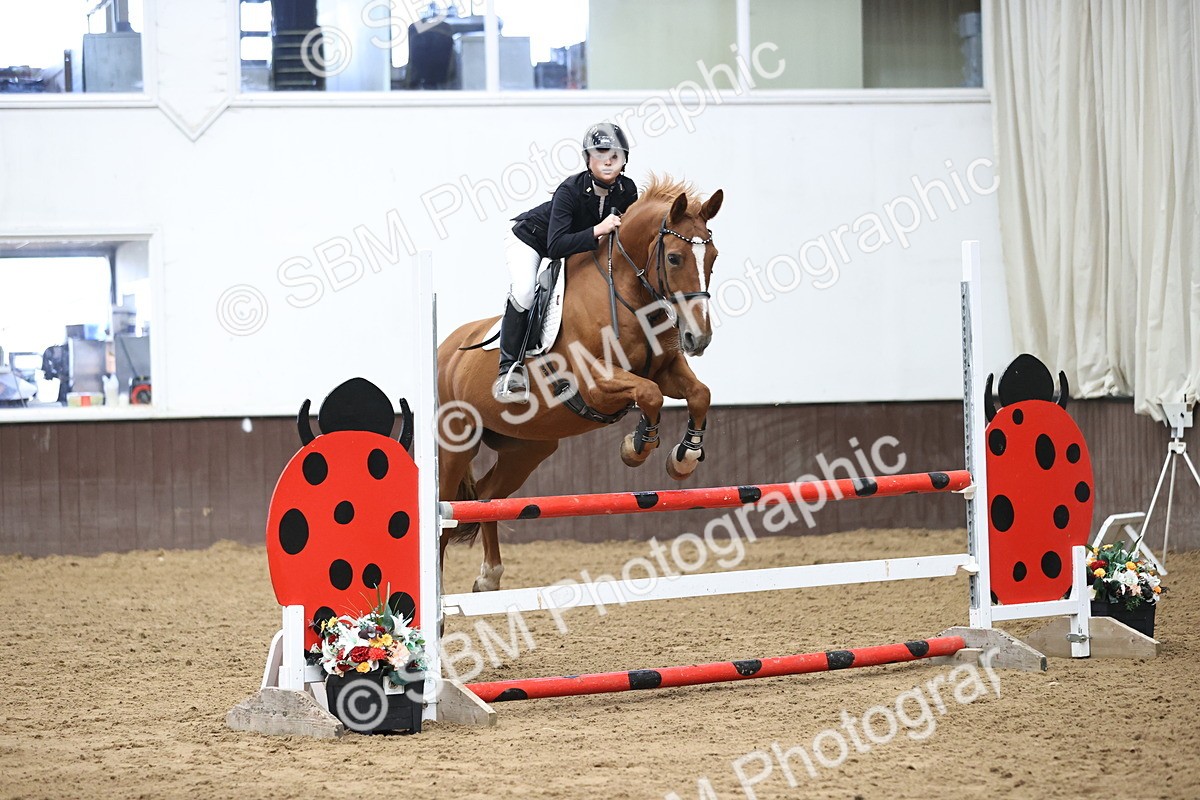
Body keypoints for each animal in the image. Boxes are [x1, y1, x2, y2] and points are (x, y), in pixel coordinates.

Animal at [437, 176, 724, 592]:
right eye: (674, 258)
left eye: (713, 257)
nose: (698, 338)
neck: (628, 296)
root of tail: (446, 349)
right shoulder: (596, 385)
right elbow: (649, 395)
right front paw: (635, 447)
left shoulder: (667, 369)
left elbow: (697, 394)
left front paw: (683, 457)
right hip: (456, 442)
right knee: (445, 515)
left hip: (528, 447)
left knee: (488, 498)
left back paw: (489, 577)